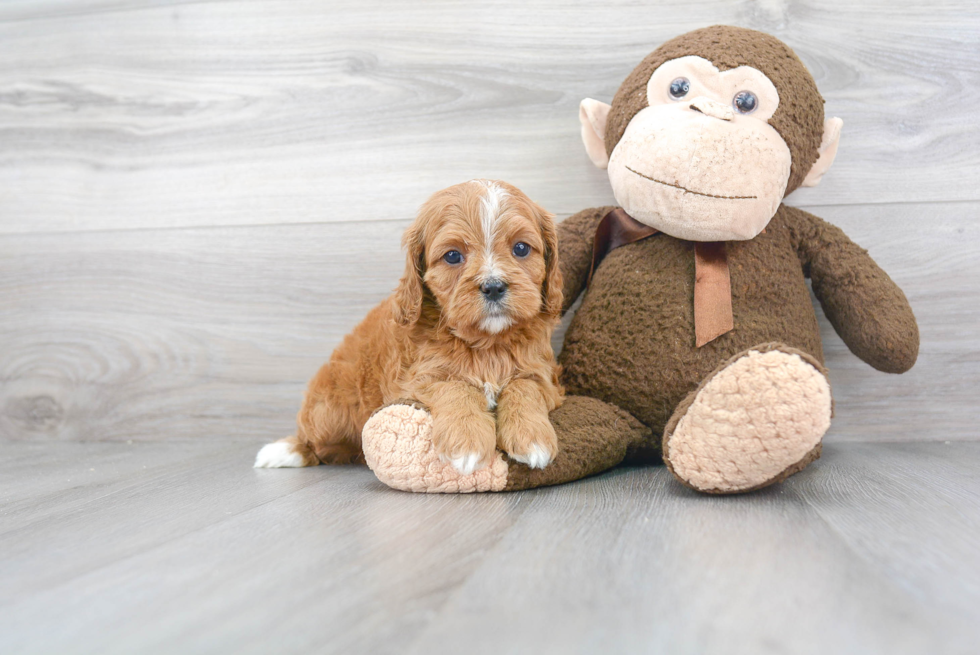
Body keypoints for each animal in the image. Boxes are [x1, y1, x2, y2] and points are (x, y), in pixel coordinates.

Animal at [256, 181, 564, 472]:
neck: (487, 344)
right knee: (314, 442)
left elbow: (525, 386)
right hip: (328, 412)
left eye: (521, 248)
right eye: (453, 256)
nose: (494, 286)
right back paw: (286, 451)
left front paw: (532, 438)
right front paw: (467, 442)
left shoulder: (544, 373)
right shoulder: (416, 380)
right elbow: (455, 386)